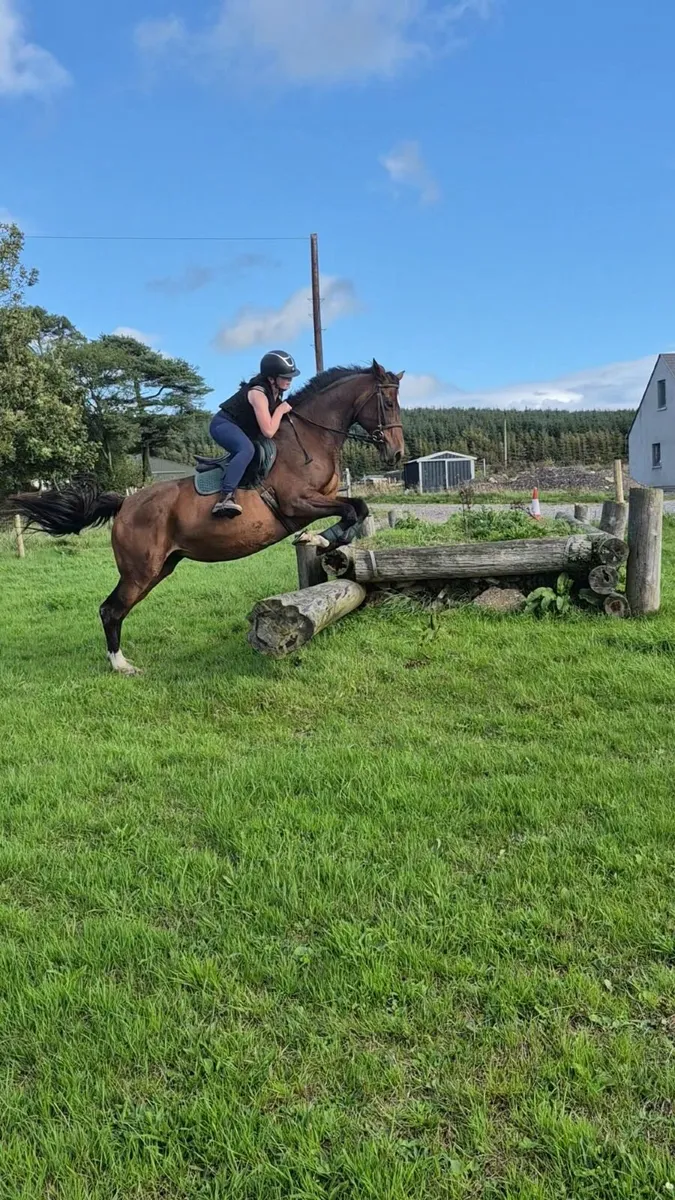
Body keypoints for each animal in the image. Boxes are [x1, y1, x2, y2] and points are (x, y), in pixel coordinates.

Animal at [5, 361, 405, 674]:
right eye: (387, 402)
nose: (397, 454)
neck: (308, 438)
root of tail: (125, 504)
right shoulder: (297, 504)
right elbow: (353, 508)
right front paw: (318, 538)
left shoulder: (319, 500)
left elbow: (357, 508)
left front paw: (321, 540)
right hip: (140, 571)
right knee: (110, 610)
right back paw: (121, 665)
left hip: (160, 568)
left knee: (117, 608)